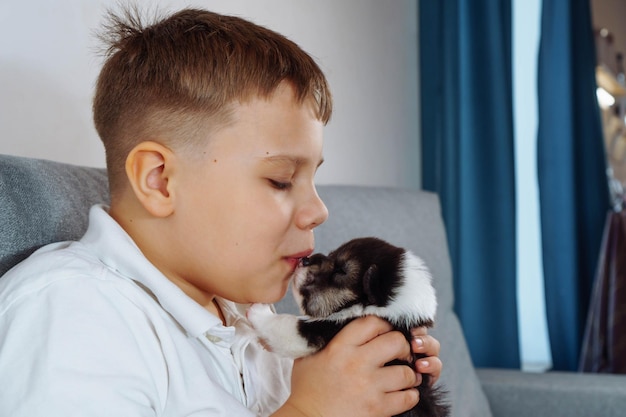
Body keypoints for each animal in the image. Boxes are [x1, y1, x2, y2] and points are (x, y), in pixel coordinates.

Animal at [246, 236, 446, 414]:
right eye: (331, 255)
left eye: (340, 271)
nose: (305, 259)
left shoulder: (321, 329)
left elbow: (283, 324)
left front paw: (258, 310)